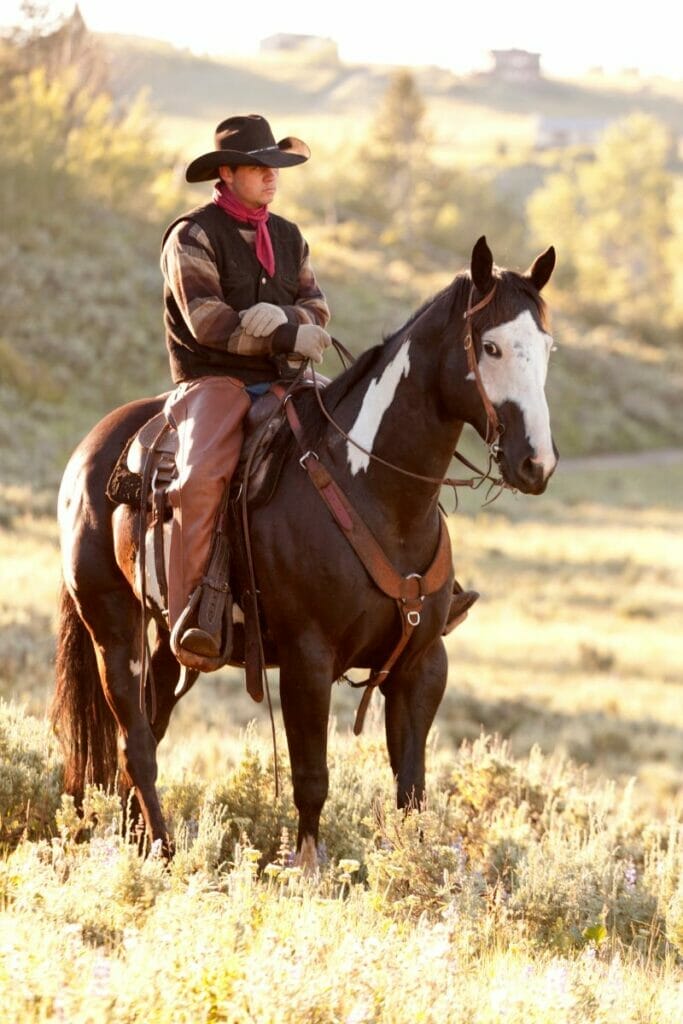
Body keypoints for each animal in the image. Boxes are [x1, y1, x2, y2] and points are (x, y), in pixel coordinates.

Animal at [50, 235, 557, 860]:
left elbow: (412, 792)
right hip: (114, 629)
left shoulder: (421, 666)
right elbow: (311, 780)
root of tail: (91, 451)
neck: (375, 493)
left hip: (168, 640)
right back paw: (164, 855)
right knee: (136, 746)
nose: (537, 464)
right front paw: (309, 870)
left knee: (148, 730)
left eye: (547, 347)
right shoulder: (306, 661)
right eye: (490, 346)